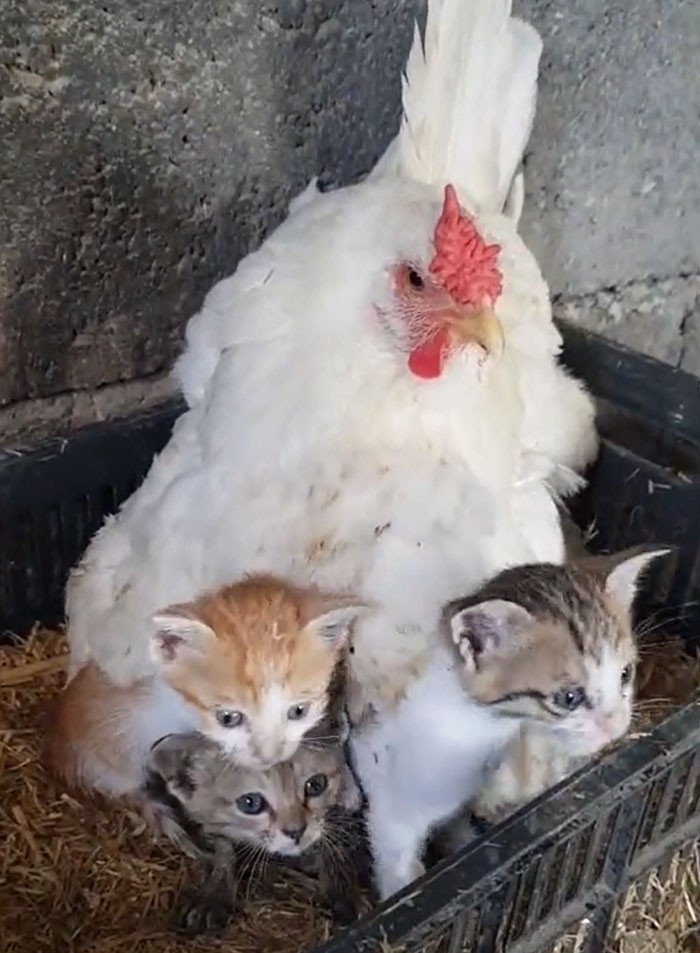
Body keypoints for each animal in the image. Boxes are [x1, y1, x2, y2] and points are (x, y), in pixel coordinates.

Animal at [142, 728, 360, 928]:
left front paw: (341, 887)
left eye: (316, 785)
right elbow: (224, 846)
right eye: (250, 803)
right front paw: (215, 891)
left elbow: (339, 835)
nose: (297, 832)